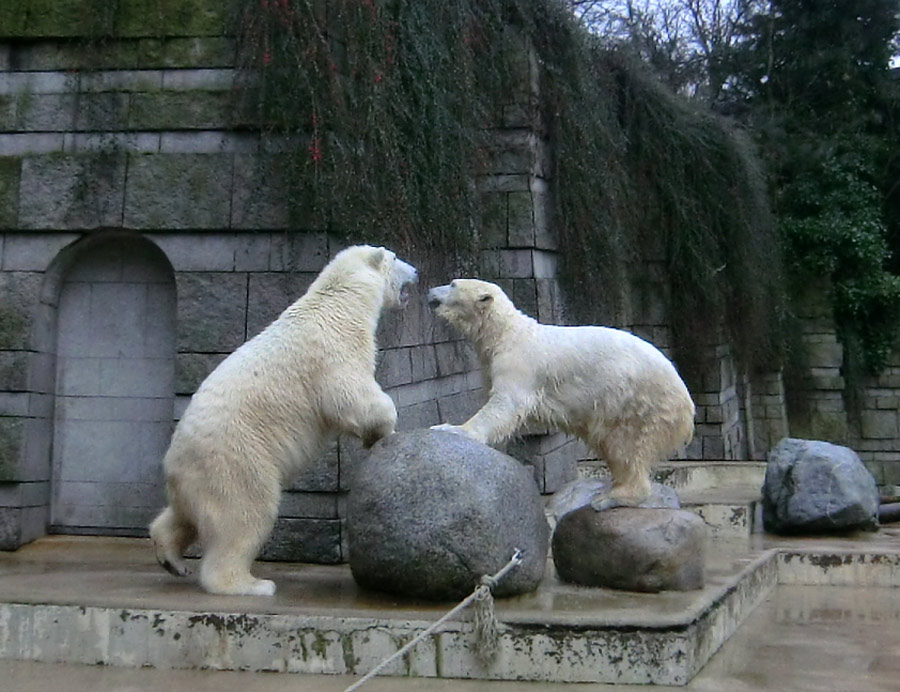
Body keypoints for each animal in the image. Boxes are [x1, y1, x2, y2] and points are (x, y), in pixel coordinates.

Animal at [151, 243, 418, 596]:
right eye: (395, 257)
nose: (416, 271)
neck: (340, 303)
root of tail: (173, 462)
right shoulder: (332, 350)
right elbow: (351, 396)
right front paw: (382, 429)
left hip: (194, 481)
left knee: (183, 517)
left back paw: (172, 559)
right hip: (236, 461)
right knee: (244, 515)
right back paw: (250, 584)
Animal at [428, 278, 696, 510]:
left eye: (453, 284)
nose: (430, 291)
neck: (506, 333)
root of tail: (687, 403)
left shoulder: (518, 364)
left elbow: (505, 405)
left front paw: (451, 428)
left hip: (639, 403)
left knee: (627, 446)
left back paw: (611, 497)